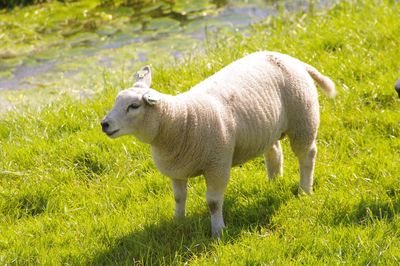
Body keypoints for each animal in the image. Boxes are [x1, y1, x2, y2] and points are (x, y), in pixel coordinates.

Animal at [100, 51, 334, 237]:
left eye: (134, 106)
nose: (104, 124)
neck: (181, 119)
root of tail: (292, 59)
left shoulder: (217, 164)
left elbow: (213, 202)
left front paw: (218, 231)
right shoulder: (177, 171)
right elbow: (178, 197)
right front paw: (178, 221)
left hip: (303, 120)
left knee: (307, 156)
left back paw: (305, 190)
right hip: (267, 127)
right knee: (274, 152)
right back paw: (274, 182)